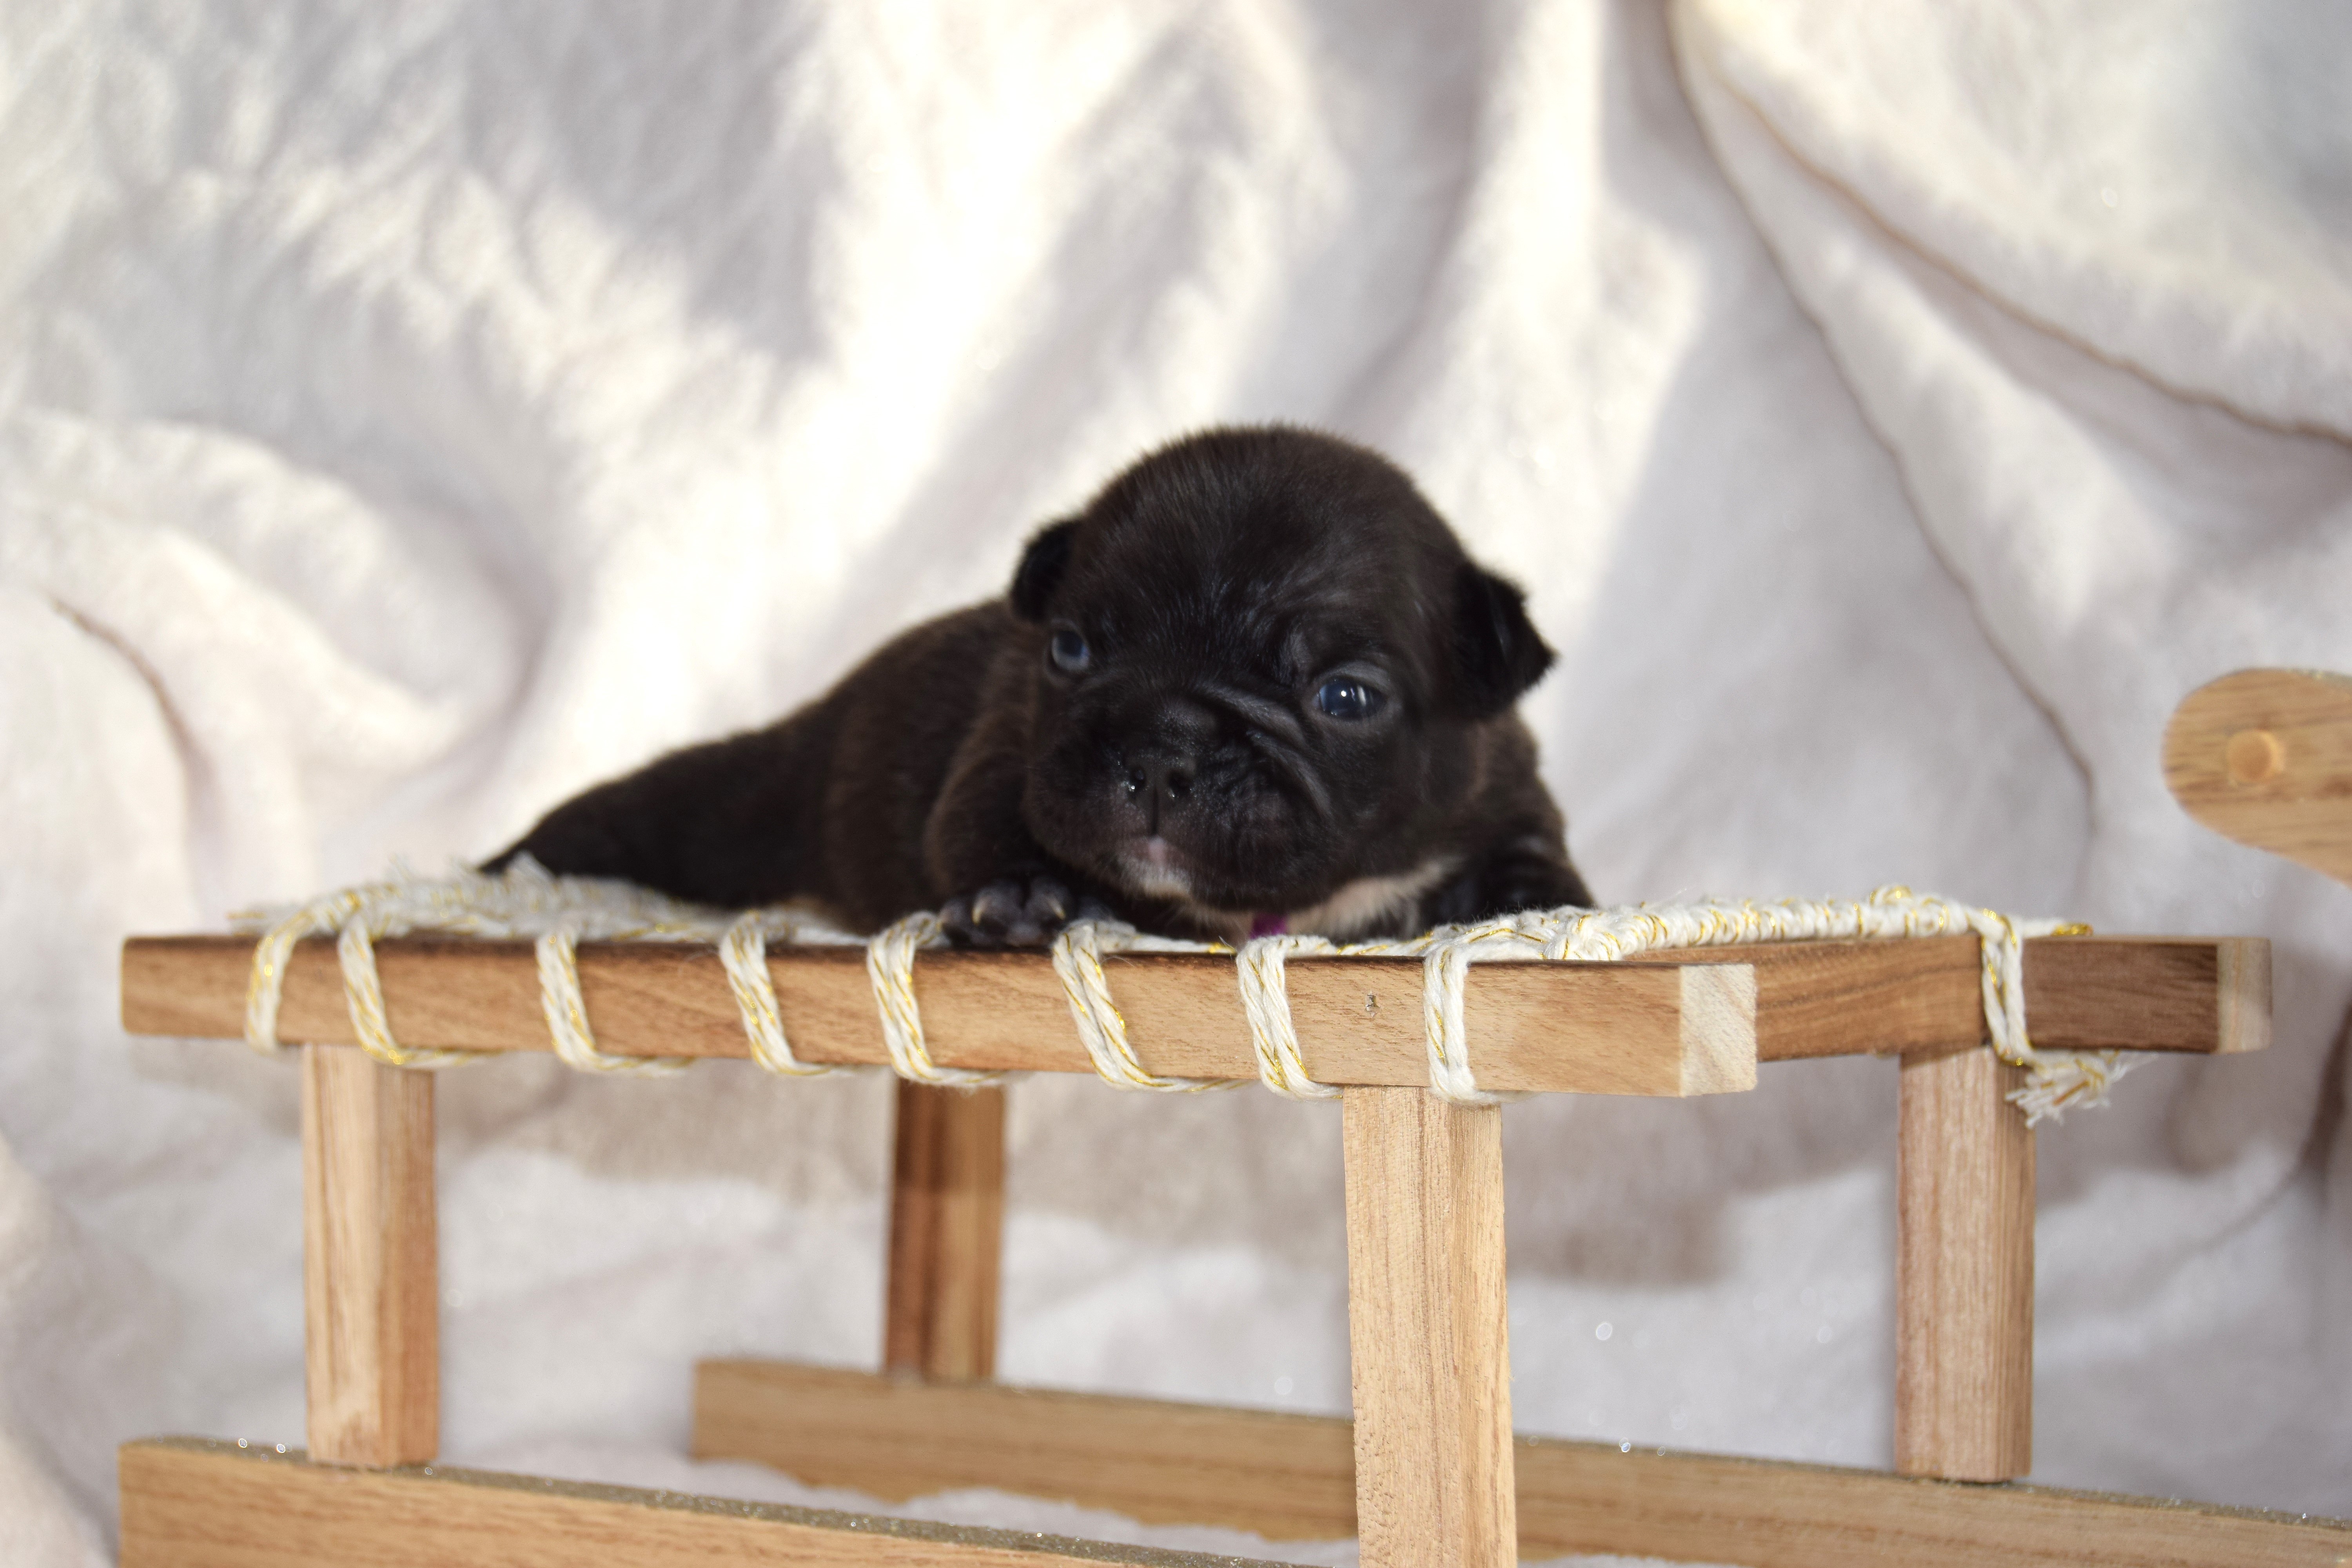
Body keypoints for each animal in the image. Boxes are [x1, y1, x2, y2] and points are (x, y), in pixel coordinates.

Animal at [496, 425, 1599, 945]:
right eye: (1070, 649)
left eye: (1346, 698)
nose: (1162, 748)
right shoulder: (1011, 747)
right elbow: (992, 821)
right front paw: (1027, 892)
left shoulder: (1502, 788)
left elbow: (1529, 847)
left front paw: (1538, 899)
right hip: (728, 806)